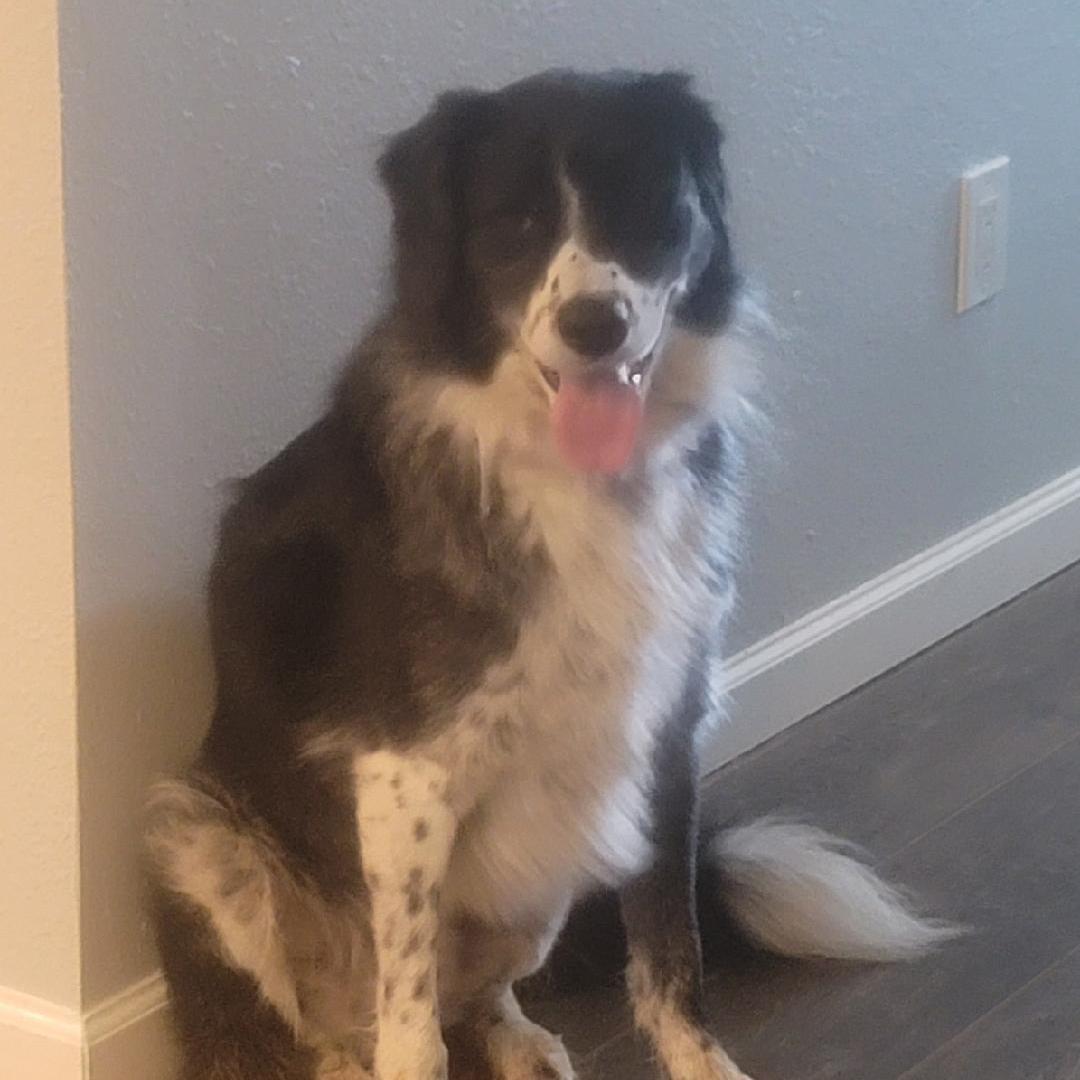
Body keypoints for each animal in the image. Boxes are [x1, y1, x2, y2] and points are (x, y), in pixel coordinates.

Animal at [146, 70, 952, 1080]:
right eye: (514, 224)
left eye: (643, 206)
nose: (594, 325)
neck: (582, 477)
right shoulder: (404, 776)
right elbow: (413, 1027)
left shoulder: (664, 737)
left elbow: (672, 948)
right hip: (195, 837)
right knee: (329, 1030)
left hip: (540, 869)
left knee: (476, 997)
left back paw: (522, 1042)